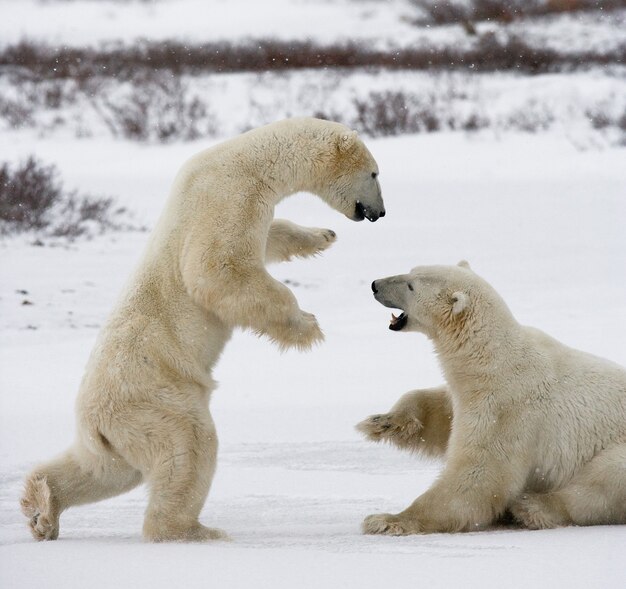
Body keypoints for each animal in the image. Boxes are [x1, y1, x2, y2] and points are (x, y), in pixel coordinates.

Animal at [22, 116, 382, 544]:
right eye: (374, 173)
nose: (379, 212)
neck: (250, 161)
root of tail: (94, 419)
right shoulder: (229, 196)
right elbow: (217, 269)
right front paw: (307, 325)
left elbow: (268, 241)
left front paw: (321, 236)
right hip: (158, 398)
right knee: (187, 447)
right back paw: (193, 530)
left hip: (121, 431)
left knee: (107, 470)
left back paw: (43, 508)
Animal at [356, 262, 624, 532]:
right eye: (411, 271)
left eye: (411, 286)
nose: (375, 285)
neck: (491, 357)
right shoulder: (470, 390)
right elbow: (443, 412)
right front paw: (382, 422)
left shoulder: (508, 406)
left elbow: (478, 474)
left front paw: (386, 520)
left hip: (615, 451)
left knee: (600, 482)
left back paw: (531, 508)